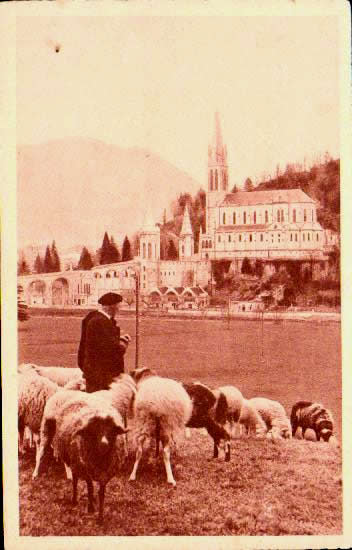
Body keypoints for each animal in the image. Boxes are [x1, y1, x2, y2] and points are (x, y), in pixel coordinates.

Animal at [33, 390, 128, 524]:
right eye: (94, 430)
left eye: (111, 430)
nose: (104, 444)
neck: (100, 459)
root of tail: (65, 391)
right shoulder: (85, 467)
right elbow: (90, 487)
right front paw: (90, 508)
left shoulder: (105, 474)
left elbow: (101, 493)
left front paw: (100, 517)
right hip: (48, 429)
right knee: (43, 453)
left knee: (74, 477)